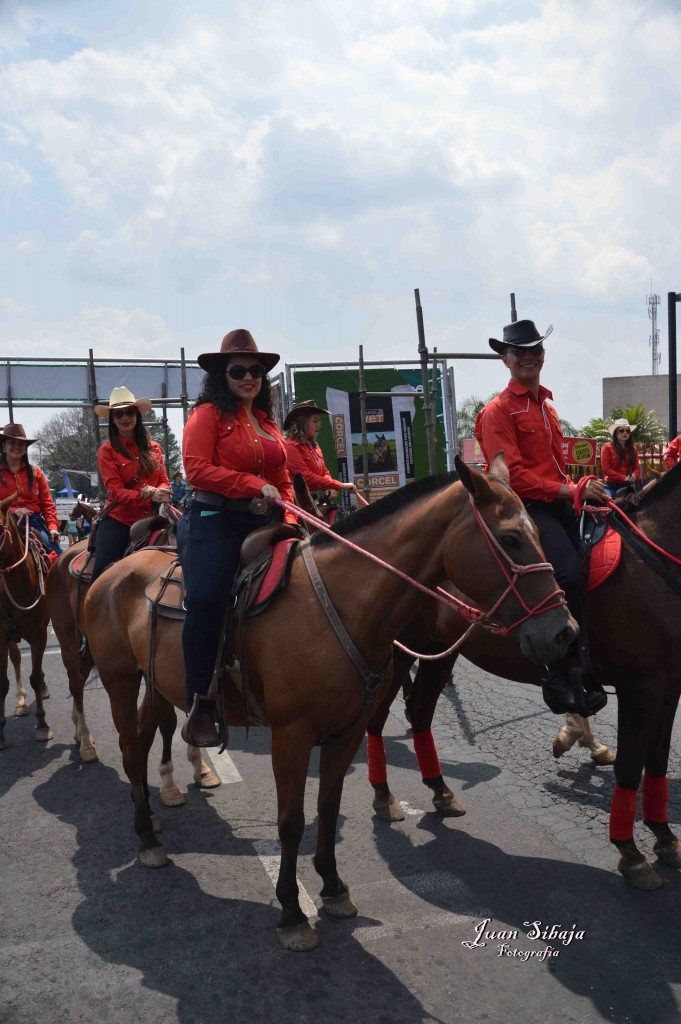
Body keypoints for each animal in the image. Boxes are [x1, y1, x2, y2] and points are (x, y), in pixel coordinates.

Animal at [82, 456, 573, 950]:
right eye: (509, 538)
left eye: (538, 531)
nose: (563, 632)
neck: (341, 602)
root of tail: (115, 569)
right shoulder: (291, 736)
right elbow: (290, 821)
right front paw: (292, 910)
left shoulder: (347, 732)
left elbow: (327, 807)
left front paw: (333, 888)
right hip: (120, 681)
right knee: (129, 750)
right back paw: (147, 838)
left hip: (158, 687)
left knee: (143, 741)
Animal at [372, 464, 681, 888]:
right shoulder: (641, 685)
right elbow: (631, 766)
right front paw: (631, 853)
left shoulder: (668, 684)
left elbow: (659, 761)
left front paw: (665, 837)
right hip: (399, 651)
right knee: (376, 717)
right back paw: (383, 796)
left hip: (440, 651)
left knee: (419, 713)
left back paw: (441, 791)